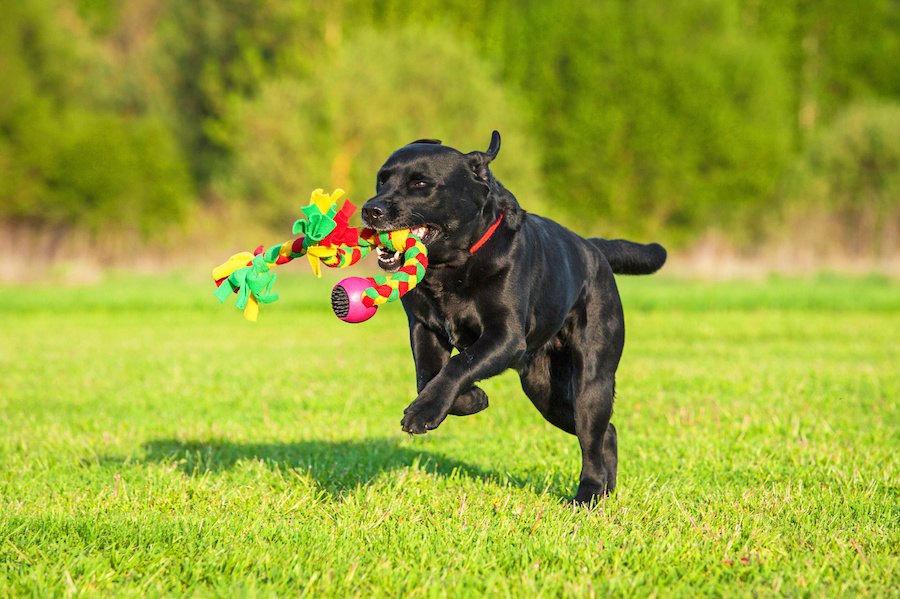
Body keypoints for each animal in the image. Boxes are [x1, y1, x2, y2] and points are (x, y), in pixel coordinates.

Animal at [362, 132, 664, 506]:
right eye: (382, 179)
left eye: (420, 183)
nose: (370, 209)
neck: (453, 268)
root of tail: (593, 249)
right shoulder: (424, 329)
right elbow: (428, 376)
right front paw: (470, 400)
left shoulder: (504, 335)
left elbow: (459, 365)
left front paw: (424, 412)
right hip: (546, 393)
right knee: (606, 432)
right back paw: (604, 492)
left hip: (591, 380)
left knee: (593, 436)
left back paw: (589, 494)